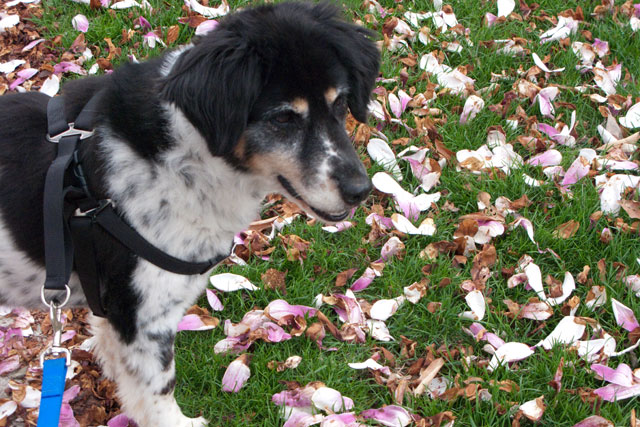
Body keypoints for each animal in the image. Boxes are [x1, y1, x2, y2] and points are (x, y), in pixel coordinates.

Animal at [0, 1, 380, 426]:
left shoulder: (116, 314)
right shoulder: (144, 317)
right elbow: (159, 392)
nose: (360, 190)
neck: (187, 152)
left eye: (340, 103)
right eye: (283, 118)